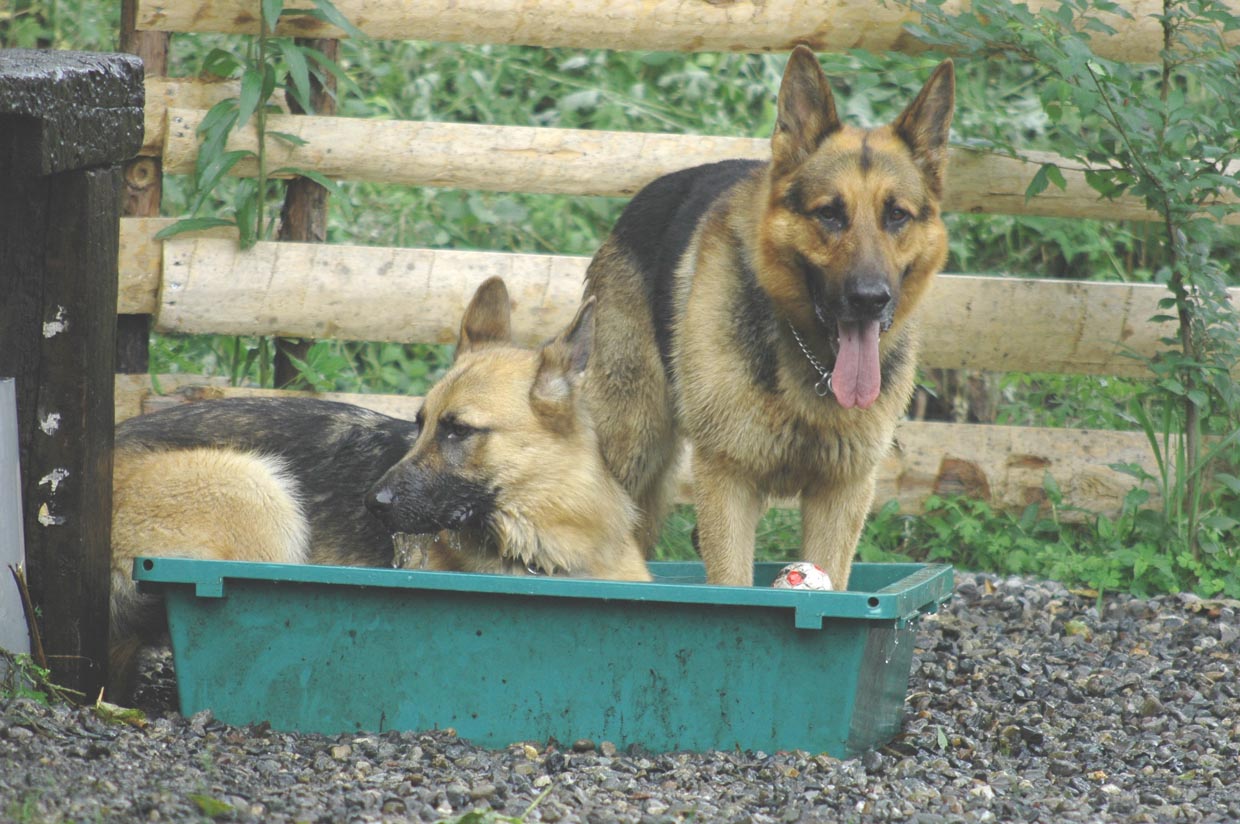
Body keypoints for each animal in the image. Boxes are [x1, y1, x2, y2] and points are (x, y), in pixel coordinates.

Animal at [582, 46, 957, 584]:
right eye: (829, 214)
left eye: (897, 215)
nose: (870, 298)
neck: (814, 366)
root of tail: (635, 204)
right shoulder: (728, 483)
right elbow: (731, 583)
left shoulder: (840, 494)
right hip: (633, 444)